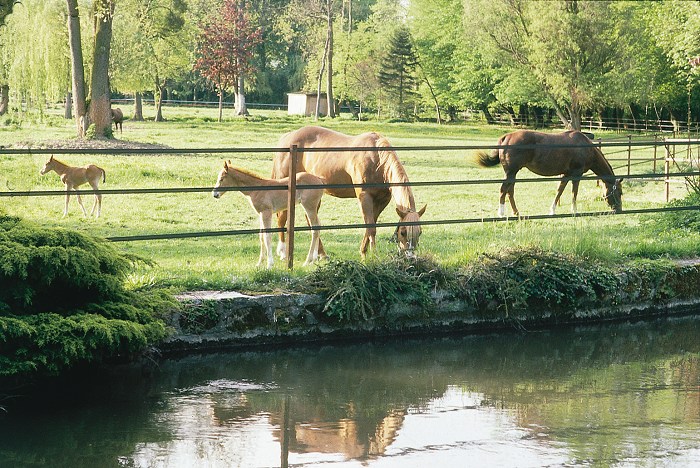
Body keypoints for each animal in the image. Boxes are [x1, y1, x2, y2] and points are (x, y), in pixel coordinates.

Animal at [272, 126, 426, 260]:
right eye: (403, 232)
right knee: (282, 218)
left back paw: (321, 254)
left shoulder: (381, 201)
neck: (377, 159)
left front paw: (364, 252)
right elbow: (371, 228)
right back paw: (283, 253)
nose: (411, 257)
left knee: (311, 221)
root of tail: (287, 137)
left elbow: (372, 225)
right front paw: (373, 257)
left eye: (420, 232)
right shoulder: (364, 197)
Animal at [474, 128, 620, 216]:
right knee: (503, 189)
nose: (619, 209)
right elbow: (574, 192)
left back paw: (516, 213)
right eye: (619, 192)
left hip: (513, 173)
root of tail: (506, 137)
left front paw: (552, 210)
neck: (585, 147)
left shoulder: (566, 174)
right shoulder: (576, 174)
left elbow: (559, 190)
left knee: (510, 191)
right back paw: (501, 213)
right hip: (511, 172)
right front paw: (574, 210)